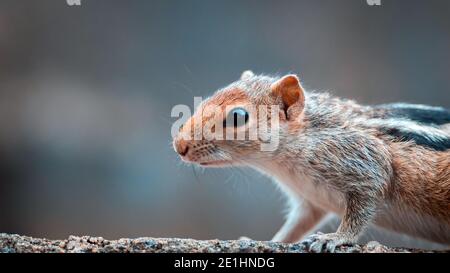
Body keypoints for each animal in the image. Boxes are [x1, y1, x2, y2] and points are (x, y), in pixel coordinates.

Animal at [172, 70, 450, 251]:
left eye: (238, 116)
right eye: (207, 100)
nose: (179, 146)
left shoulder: (366, 163)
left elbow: (362, 208)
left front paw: (336, 238)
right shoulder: (310, 200)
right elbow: (297, 224)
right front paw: (266, 241)